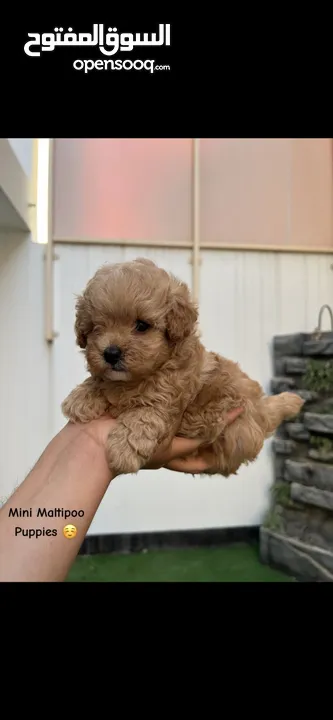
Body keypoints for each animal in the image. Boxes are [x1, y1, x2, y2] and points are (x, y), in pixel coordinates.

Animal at [61, 258, 302, 478]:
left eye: (141, 325)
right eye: (96, 327)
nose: (111, 353)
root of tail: (262, 411)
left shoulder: (169, 397)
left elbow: (144, 415)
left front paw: (124, 450)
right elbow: (101, 380)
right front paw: (81, 397)